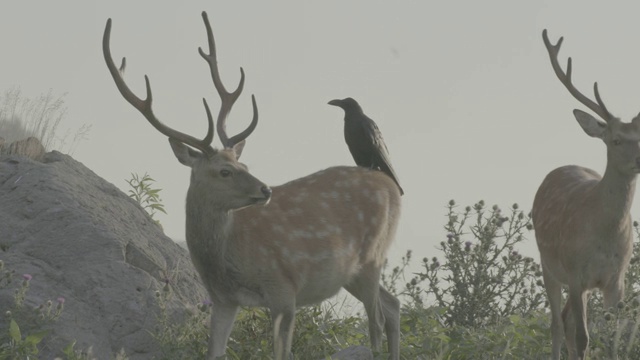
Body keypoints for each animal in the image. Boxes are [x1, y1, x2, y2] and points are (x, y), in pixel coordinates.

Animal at [102, 11, 400, 360]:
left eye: (244, 165)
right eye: (225, 171)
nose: (266, 190)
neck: (228, 259)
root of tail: (391, 186)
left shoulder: (283, 287)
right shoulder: (222, 299)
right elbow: (215, 352)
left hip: (371, 256)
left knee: (376, 320)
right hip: (353, 272)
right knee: (393, 305)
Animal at [528, 29, 640, 358]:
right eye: (616, 140)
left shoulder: (616, 280)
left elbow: (613, 339)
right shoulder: (576, 273)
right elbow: (582, 338)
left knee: (565, 320)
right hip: (549, 264)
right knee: (556, 324)